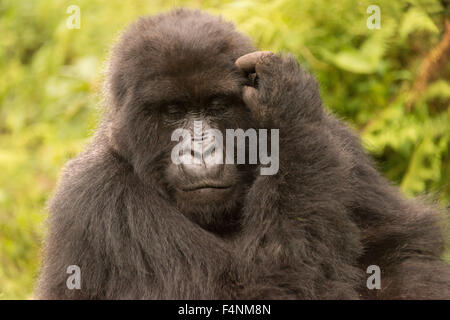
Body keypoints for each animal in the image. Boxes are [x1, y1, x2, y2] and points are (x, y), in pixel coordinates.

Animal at [37, 9, 450, 300]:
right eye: (173, 111)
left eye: (217, 105)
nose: (200, 148)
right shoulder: (93, 199)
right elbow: (266, 287)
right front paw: (286, 111)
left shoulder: (336, 138)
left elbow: (399, 252)